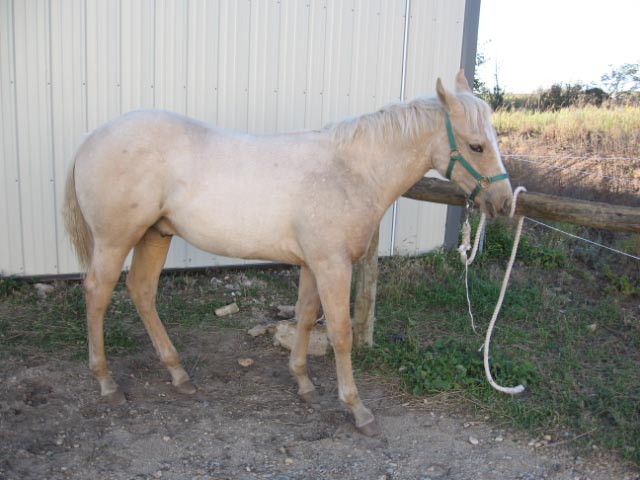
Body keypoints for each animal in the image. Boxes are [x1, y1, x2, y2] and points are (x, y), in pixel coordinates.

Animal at [63, 70, 512, 436]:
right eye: (476, 146)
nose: (504, 202)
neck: (351, 171)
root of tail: (89, 139)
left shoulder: (314, 264)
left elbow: (305, 316)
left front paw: (304, 383)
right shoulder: (333, 265)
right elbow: (341, 333)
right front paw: (357, 409)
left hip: (156, 235)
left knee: (141, 291)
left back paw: (178, 374)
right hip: (115, 240)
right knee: (97, 293)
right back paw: (106, 382)